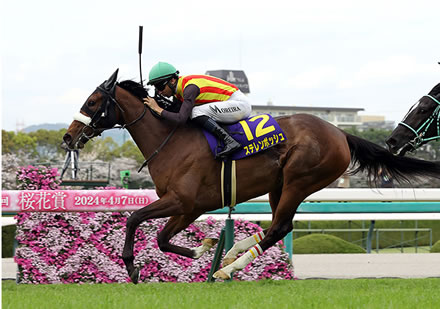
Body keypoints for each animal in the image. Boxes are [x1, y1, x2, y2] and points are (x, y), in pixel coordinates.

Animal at [62, 70, 440, 282]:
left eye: (93, 101)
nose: (68, 136)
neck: (171, 141)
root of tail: (340, 133)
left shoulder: (181, 200)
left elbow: (134, 219)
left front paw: (132, 267)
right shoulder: (190, 206)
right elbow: (162, 238)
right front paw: (205, 247)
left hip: (299, 180)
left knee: (279, 227)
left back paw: (228, 268)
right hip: (279, 185)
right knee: (277, 226)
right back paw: (231, 255)